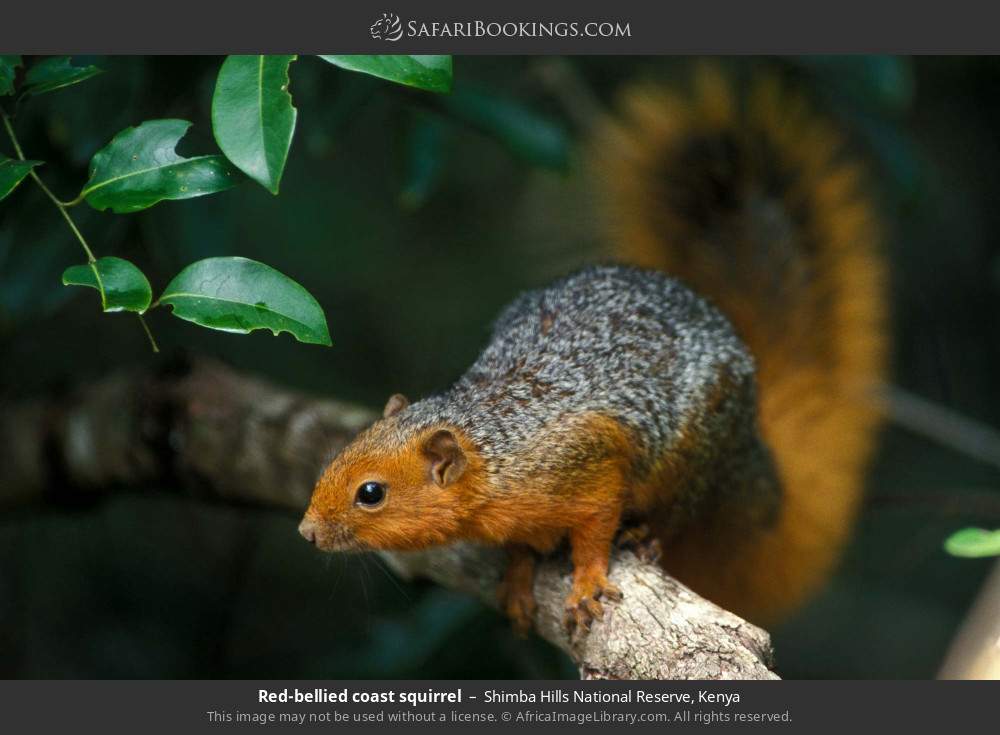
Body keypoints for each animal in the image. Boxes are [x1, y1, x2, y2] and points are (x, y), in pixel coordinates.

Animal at [298, 65, 887, 636]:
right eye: (337, 456)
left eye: (370, 493)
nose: (307, 531)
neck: (494, 455)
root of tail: (751, 442)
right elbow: (519, 548)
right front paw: (517, 579)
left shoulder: (588, 459)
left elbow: (595, 528)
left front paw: (586, 582)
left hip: (695, 453)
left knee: (678, 510)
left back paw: (647, 534)